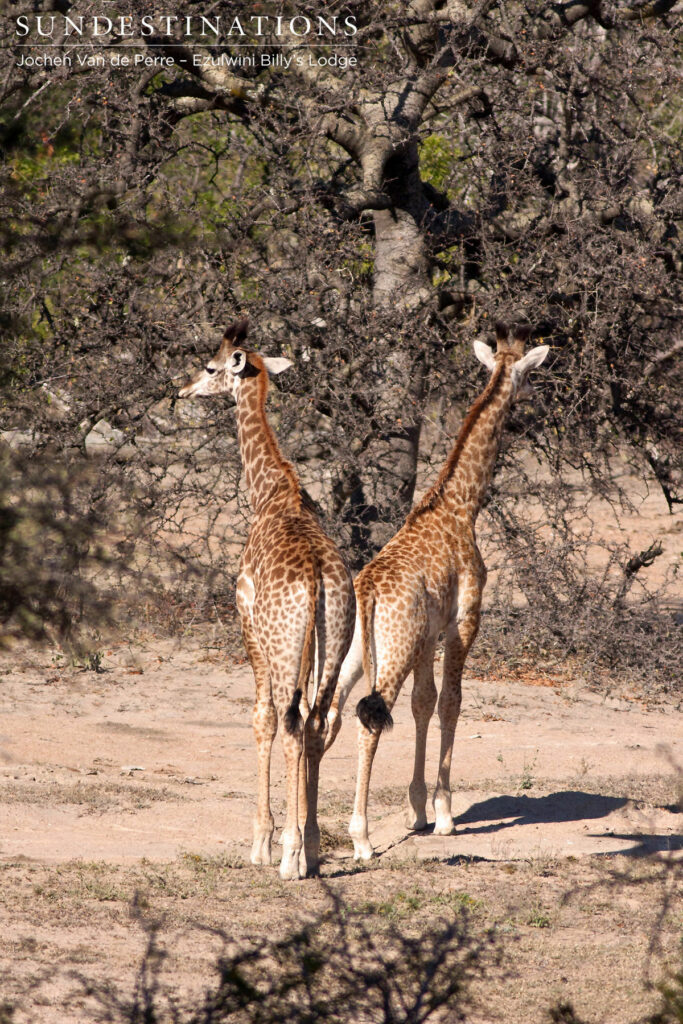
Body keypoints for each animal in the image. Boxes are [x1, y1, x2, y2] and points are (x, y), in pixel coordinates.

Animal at [178, 319, 355, 879]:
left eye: (210, 366)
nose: (184, 390)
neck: (269, 492)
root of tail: (319, 578)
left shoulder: (245, 619)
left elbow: (261, 719)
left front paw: (261, 842)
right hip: (335, 641)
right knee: (317, 723)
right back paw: (312, 847)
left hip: (283, 647)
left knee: (291, 722)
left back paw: (290, 856)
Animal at [325, 323, 549, 860]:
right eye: (530, 372)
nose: (537, 396)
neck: (460, 505)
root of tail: (365, 591)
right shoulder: (463, 620)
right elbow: (451, 702)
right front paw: (444, 813)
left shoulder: (427, 637)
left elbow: (422, 704)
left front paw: (417, 808)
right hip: (393, 652)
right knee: (367, 720)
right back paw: (361, 839)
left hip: (356, 654)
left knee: (329, 716)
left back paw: (303, 839)